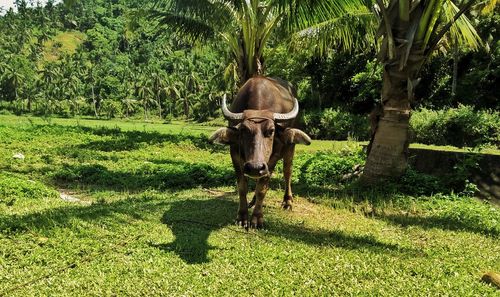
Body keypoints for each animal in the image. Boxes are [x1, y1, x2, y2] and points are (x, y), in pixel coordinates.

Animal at [209, 76, 310, 227]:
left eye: (271, 131)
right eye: (243, 130)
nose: (255, 167)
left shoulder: (271, 160)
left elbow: (263, 188)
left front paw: (257, 218)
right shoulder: (235, 155)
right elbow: (242, 186)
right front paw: (242, 216)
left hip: (289, 148)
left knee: (287, 172)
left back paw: (287, 202)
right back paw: (253, 200)